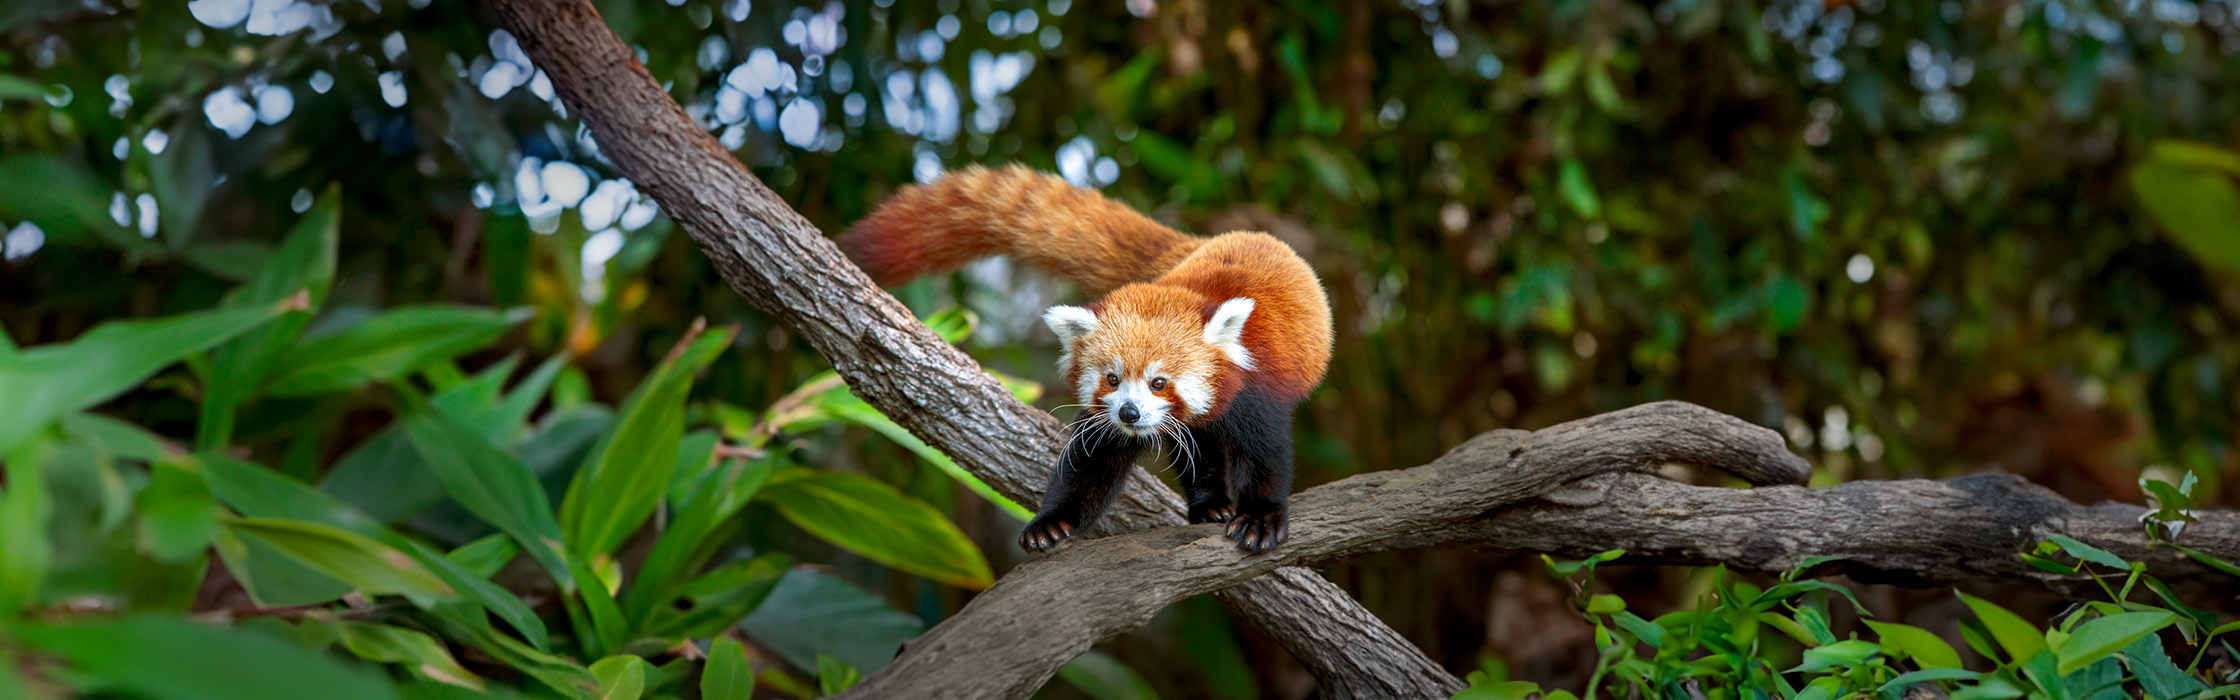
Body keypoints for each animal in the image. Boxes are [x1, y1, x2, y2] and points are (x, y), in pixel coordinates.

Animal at [837, 163, 1326, 551]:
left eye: (1159, 382)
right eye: (1112, 378)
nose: (1130, 413)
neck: (1187, 294)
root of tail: (1199, 245)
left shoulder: (1257, 391)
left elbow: (1265, 455)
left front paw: (1260, 518)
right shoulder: (1106, 421)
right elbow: (1090, 466)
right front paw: (1052, 523)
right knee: (1197, 451)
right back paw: (1209, 504)